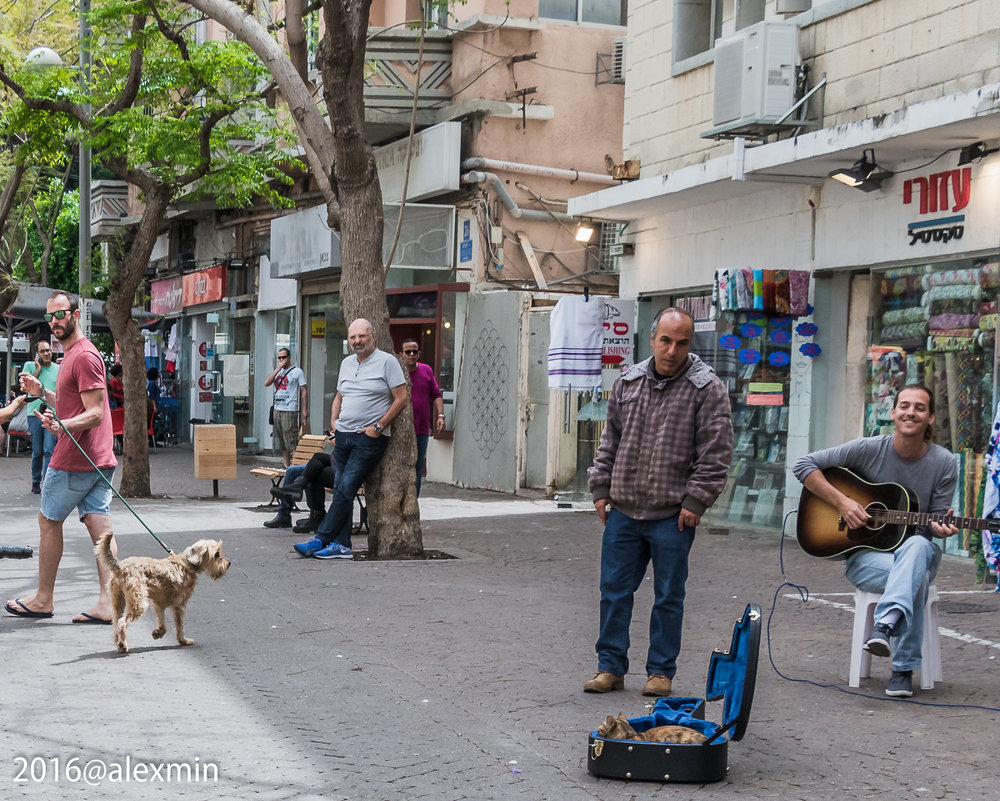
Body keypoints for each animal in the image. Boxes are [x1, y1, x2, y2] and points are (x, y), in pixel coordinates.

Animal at [96, 532, 230, 648]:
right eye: (217, 555)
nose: (228, 563)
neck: (188, 563)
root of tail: (120, 567)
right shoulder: (179, 606)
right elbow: (179, 625)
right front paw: (183, 640)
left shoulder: (158, 604)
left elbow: (163, 623)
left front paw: (158, 633)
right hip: (138, 604)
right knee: (121, 623)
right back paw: (123, 645)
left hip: (118, 602)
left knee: (115, 623)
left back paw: (119, 644)